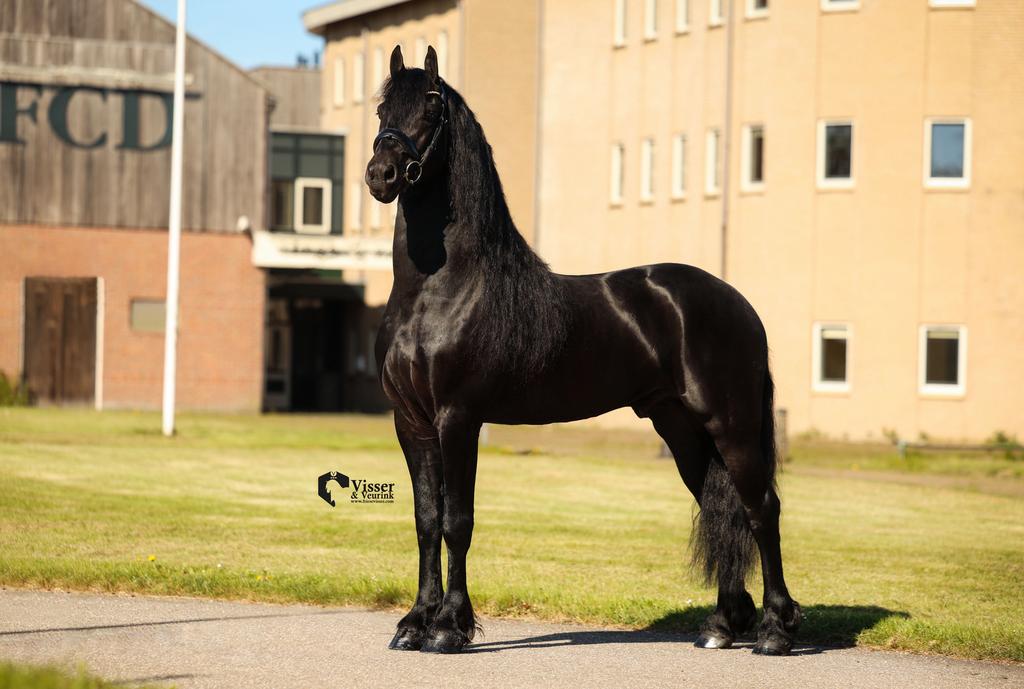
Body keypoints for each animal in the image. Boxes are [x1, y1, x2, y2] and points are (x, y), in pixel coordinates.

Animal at [364, 45, 802, 656]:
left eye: (430, 109)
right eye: (383, 110)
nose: (380, 175)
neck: (441, 290)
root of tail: (740, 305)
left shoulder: (459, 419)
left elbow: (458, 522)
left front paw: (450, 627)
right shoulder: (412, 422)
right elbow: (427, 521)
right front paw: (413, 623)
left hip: (730, 423)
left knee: (761, 509)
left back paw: (776, 631)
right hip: (680, 427)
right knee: (723, 507)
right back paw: (721, 625)